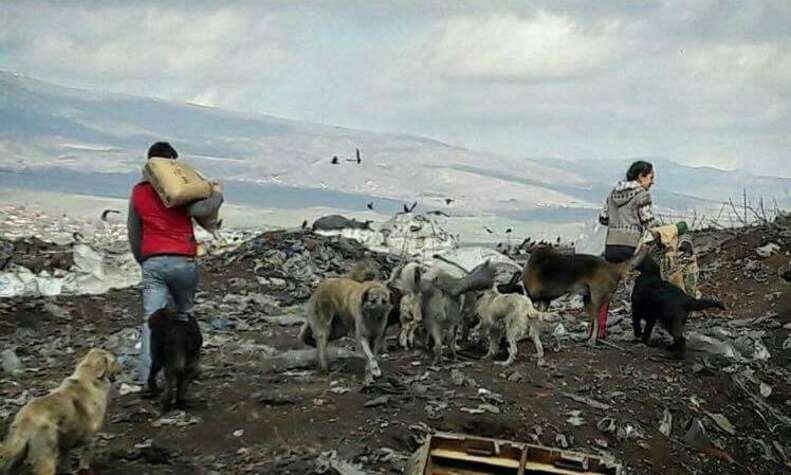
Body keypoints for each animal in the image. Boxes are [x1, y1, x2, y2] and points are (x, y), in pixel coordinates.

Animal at [524, 245, 652, 346]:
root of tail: (612, 267)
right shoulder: (544, 301)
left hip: (595, 300)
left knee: (596, 321)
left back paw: (592, 341)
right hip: (588, 301)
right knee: (594, 321)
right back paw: (587, 338)